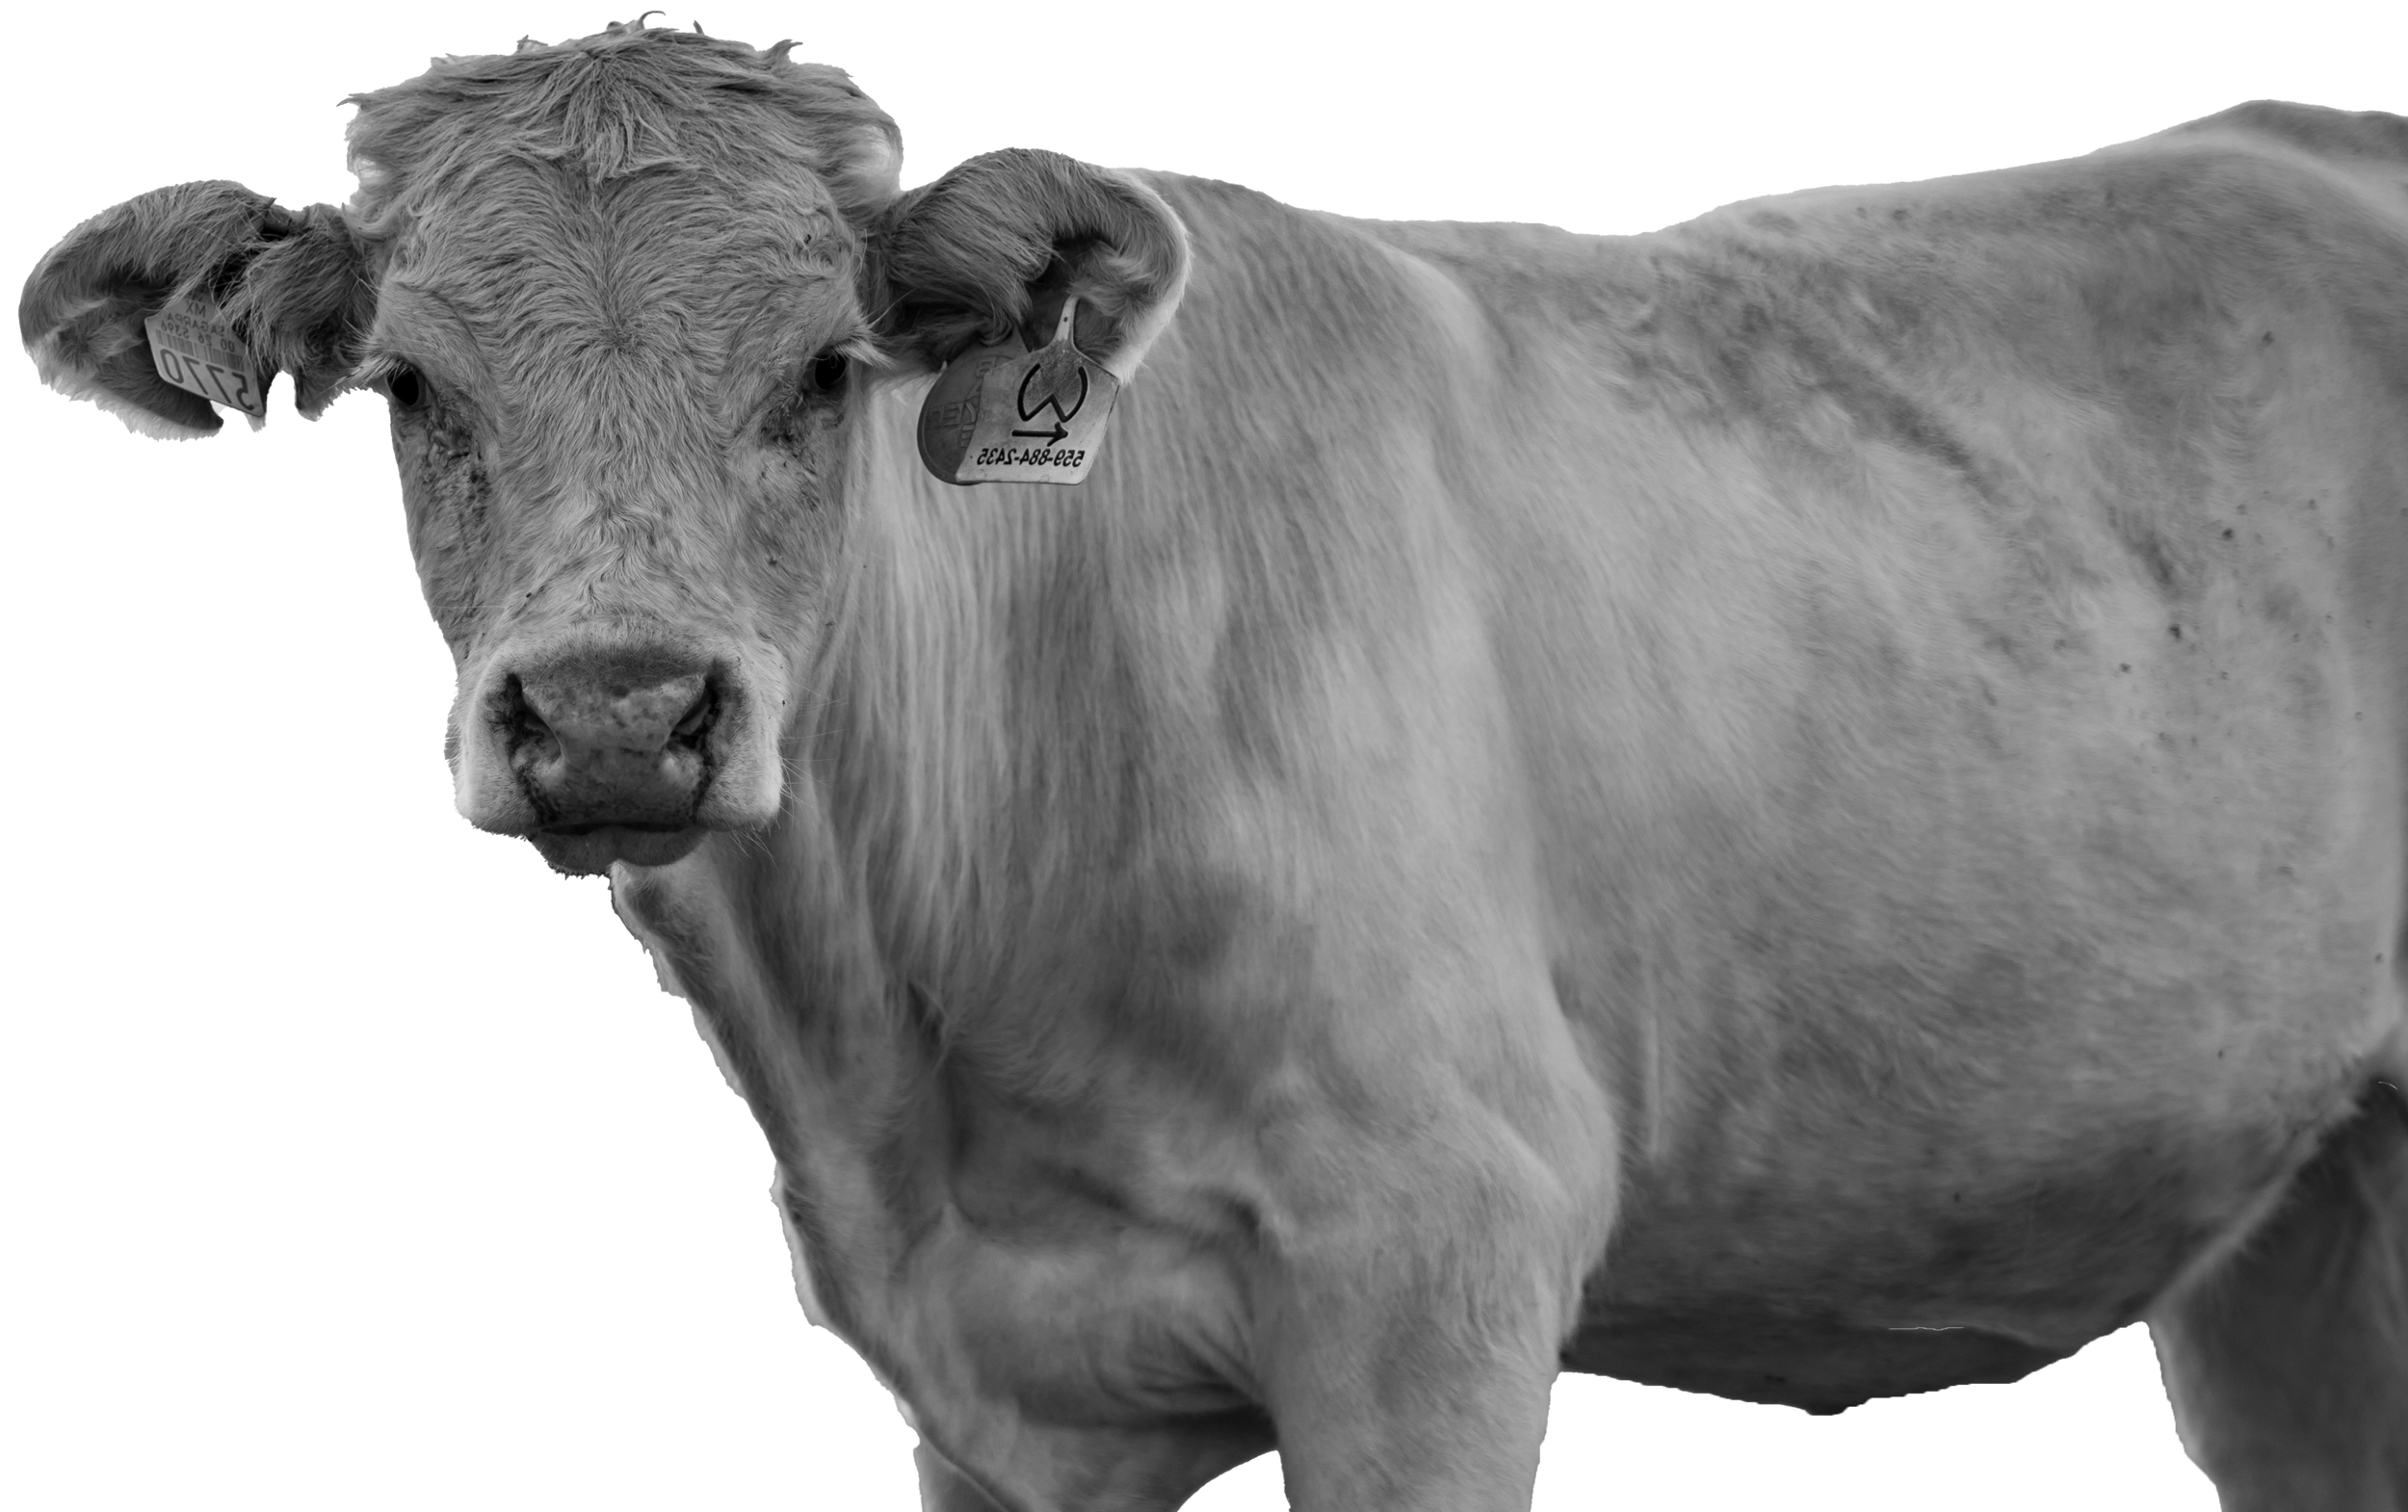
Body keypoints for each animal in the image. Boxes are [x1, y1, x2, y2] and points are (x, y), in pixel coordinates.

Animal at [18, 23, 2406, 1510]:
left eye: (824, 371)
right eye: (417, 385)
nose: (616, 702)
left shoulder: (1439, 1255)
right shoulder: (990, 1384)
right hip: (2297, 1228)